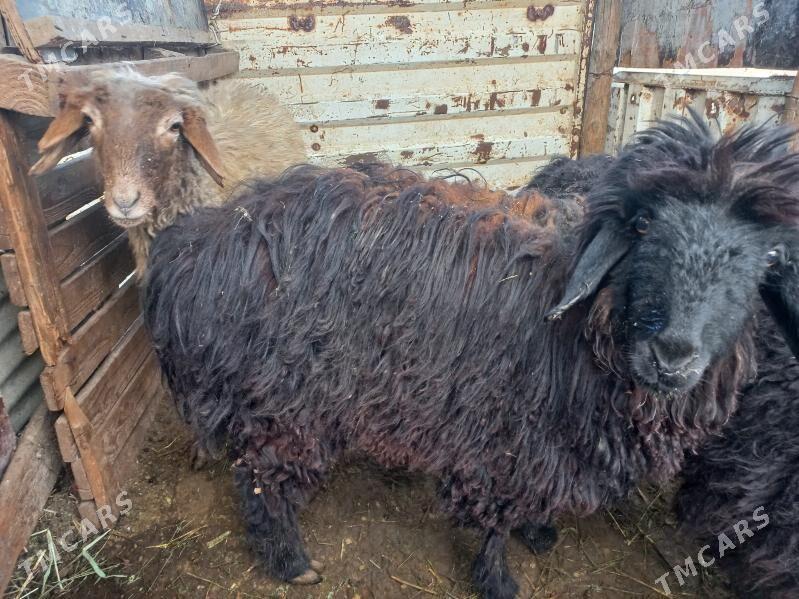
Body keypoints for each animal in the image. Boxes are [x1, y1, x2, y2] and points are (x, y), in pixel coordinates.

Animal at [141, 114, 799, 598]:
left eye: (766, 257)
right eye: (643, 226)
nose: (674, 356)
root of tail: (191, 244)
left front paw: (540, 531)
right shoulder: (500, 437)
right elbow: (492, 520)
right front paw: (500, 579)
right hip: (283, 405)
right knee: (261, 483)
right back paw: (291, 561)